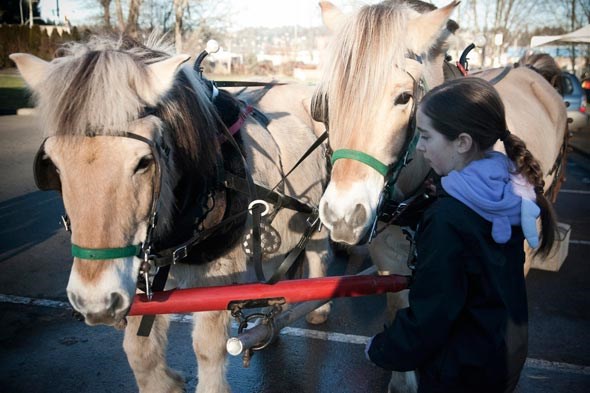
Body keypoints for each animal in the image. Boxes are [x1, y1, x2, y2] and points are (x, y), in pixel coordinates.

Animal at [11, 34, 332, 392]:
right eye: (52, 164)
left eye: (143, 162)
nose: (94, 302)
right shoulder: (135, 265)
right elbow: (138, 349)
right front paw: (166, 382)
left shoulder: (219, 271)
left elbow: (208, 347)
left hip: (319, 211)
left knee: (319, 252)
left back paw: (317, 307)